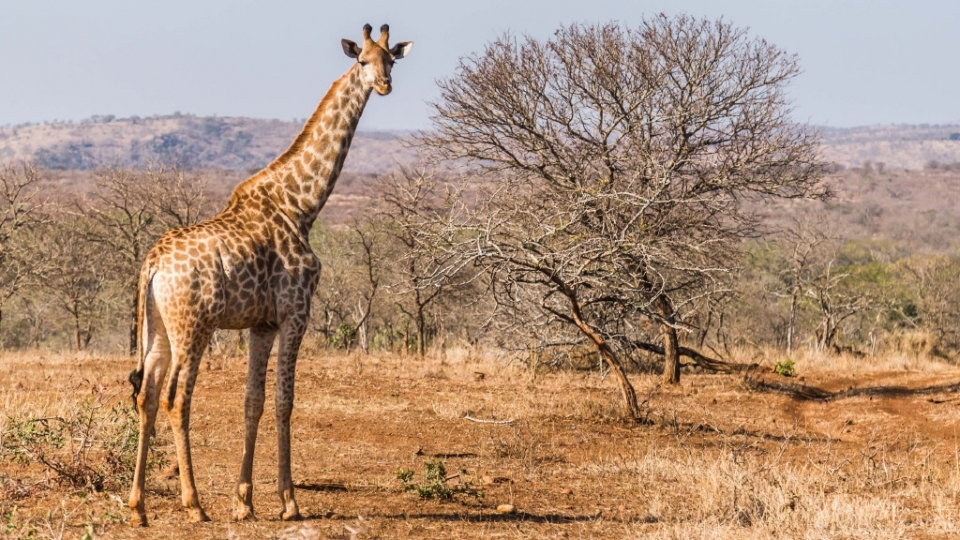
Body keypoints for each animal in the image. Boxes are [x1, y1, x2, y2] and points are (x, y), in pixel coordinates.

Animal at [125, 23, 410, 524]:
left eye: (390, 59)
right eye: (362, 61)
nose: (384, 84)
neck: (303, 206)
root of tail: (152, 264)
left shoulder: (261, 324)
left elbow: (252, 401)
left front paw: (244, 501)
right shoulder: (297, 312)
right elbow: (284, 401)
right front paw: (289, 502)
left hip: (157, 328)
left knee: (147, 396)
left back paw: (138, 506)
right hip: (193, 327)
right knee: (176, 398)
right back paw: (194, 503)